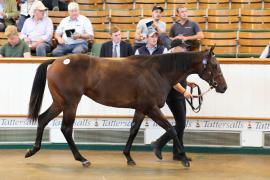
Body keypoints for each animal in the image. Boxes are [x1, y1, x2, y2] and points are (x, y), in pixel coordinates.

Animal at [25, 46, 228, 167]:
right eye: (215, 66)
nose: (224, 87)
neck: (158, 71)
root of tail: (58, 61)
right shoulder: (151, 108)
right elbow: (171, 129)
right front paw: (184, 158)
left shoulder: (141, 109)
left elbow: (133, 130)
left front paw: (128, 156)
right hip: (70, 103)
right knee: (66, 129)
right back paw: (82, 159)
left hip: (60, 102)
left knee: (43, 119)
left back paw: (32, 150)